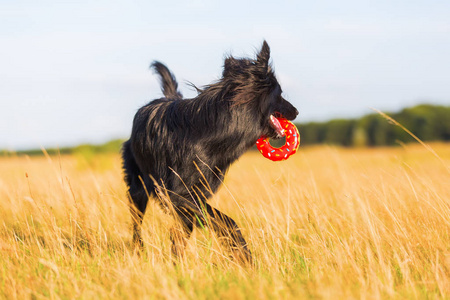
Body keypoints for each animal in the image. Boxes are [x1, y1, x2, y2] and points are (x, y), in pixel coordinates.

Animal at [123, 41, 298, 262]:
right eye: (280, 93)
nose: (296, 111)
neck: (213, 128)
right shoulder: (177, 193)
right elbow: (226, 221)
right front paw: (243, 255)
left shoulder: (195, 195)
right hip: (138, 189)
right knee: (137, 225)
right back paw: (139, 251)